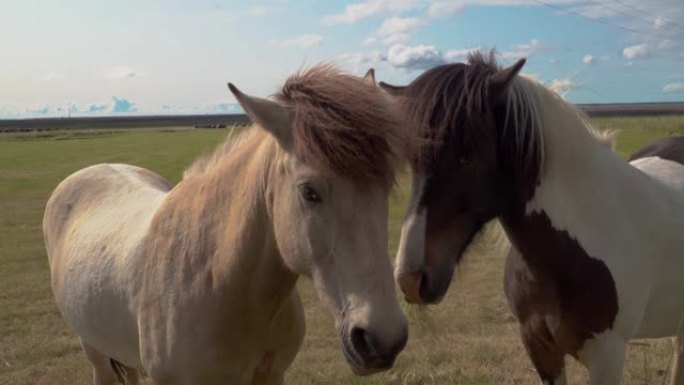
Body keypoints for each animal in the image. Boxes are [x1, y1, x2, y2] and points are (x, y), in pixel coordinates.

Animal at [45, 64, 408, 382]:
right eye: (309, 191)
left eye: (387, 186)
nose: (383, 339)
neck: (215, 279)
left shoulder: (272, 376)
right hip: (94, 351)